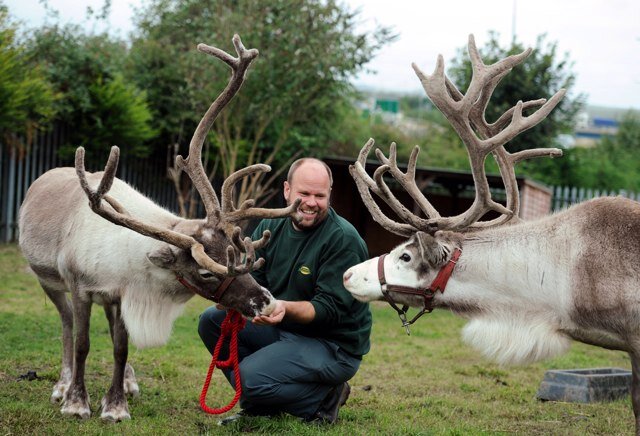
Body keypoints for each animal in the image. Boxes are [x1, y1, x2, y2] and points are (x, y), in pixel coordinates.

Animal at [18, 35, 300, 422]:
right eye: (206, 273)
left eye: (236, 250)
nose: (267, 303)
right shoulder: (80, 287)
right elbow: (83, 343)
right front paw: (76, 402)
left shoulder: (123, 292)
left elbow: (120, 346)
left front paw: (115, 405)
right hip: (47, 280)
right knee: (66, 324)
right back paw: (62, 385)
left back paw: (128, 383)